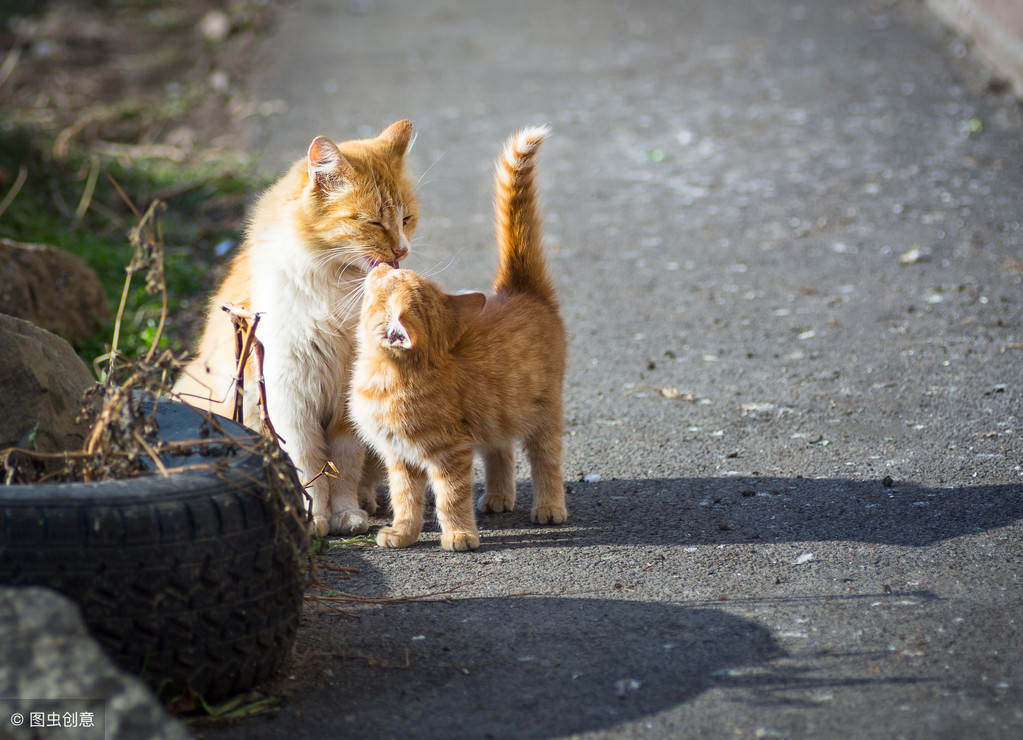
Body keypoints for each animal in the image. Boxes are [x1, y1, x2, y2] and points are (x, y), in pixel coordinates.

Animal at [175, 121, 419, 540]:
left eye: (406, 220)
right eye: (372, 222)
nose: (401, 251)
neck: (338, 288)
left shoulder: (346, 401)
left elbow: (343, 466)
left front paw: (346, 513)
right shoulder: (291, 395)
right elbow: (308, 462)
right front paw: (313, 516)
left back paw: (366, 500)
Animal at [347, 127, 564, 548]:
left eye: (390, 281)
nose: (388, 264)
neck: (385, 379)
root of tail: (519, 290)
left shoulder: (450, 452)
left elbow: (450, 495)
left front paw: (460, 534)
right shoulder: (400, 458)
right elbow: (405, 498)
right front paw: (404, 533)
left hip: (544, 411)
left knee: (545, 458)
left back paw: (549, 506)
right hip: (497, 413)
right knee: (500, 450)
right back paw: (498, 496)